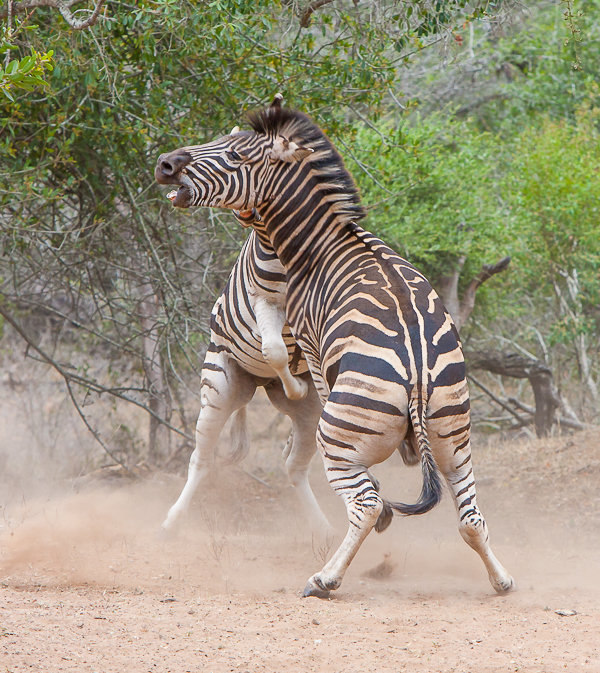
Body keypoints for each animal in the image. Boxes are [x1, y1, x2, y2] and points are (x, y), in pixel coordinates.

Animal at [159, 203, 332, 536]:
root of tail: (260, 382)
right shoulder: (265, 304)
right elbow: (274, 349)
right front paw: (297, 384)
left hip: (309, 415)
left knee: (294, 465)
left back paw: (323, 527)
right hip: (219, 392)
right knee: (201, 459)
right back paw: (171, 523)